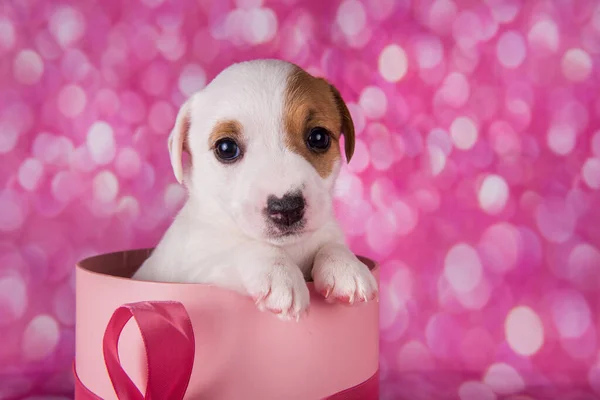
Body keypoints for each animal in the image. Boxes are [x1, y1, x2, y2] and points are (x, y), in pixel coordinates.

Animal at [134, 59, 378, 320]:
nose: (287, 208)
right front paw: (280, 274)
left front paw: (346, 266)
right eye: (226, 148)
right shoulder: (193, 271)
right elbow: (244, 249)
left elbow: (331, 244)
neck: (290, 248)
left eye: (319, 137)